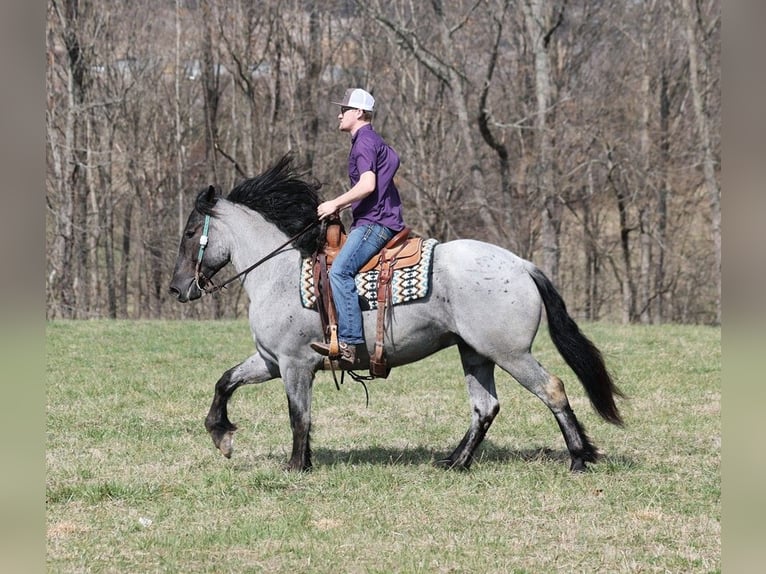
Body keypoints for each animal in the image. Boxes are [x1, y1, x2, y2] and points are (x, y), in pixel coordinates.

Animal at [168, 155, 624, 474]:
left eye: (190, 232)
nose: (176, 288)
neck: (278, 273)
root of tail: (521, 264)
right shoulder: (270, 360)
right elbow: (225, 381)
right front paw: (221, 435)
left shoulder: (294, 364)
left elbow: (299, 416)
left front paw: (297, 466)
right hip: (475, 353)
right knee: (485, 407)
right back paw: (455, 461)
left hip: (510, 353)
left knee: (552, 389)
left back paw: (578, 458)